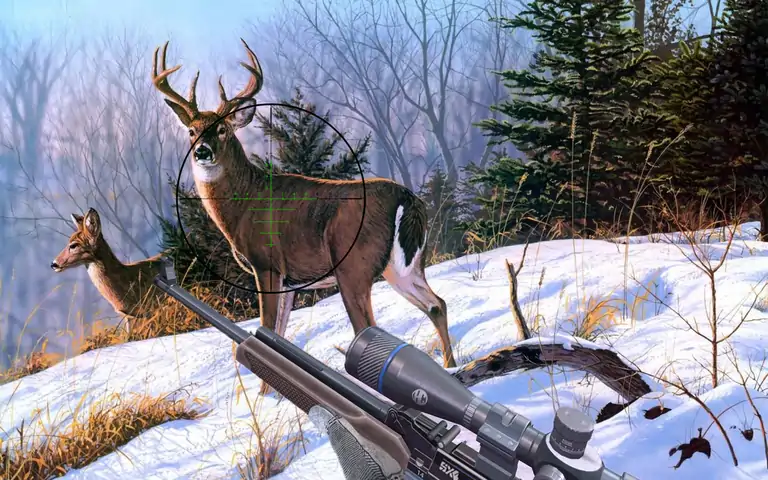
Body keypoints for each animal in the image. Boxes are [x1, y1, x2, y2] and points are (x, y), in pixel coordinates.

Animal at [151, 39, 457, 374]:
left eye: (222, 130)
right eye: (192, 131)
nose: (202, 152)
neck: (242, 205)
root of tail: (406, 197)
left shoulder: (267, 265)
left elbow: (268, 327)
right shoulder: (290, 281)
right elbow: (280, 332)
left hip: (354, 266)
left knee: (368, 325)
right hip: (402, 266)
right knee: (437, 303)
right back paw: (450, 365)